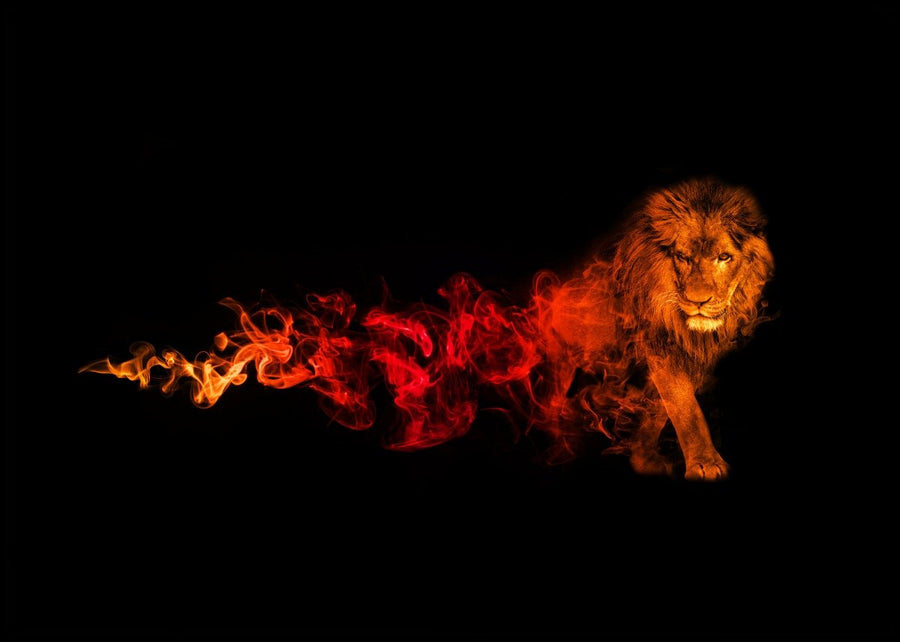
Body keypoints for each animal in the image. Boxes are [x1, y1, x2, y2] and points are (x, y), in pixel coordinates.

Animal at [540, 176, 775, 481]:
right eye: (683, 257)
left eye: (724, 257)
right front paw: (705, 464)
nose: (698, 302)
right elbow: (685, 406)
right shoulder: (659, 342)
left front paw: (644, 458)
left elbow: (660, 407)